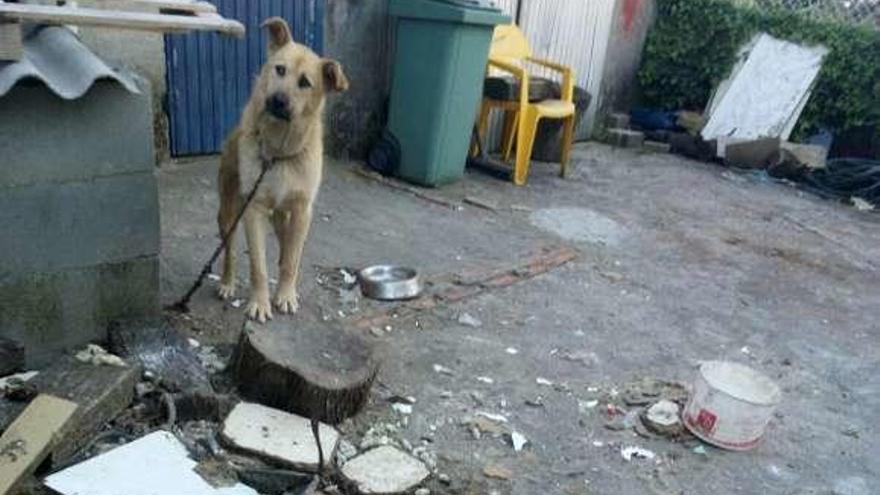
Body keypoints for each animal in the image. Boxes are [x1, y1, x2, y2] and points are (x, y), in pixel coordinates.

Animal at [217, 17, 348, 324]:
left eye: (305, 83)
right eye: (279, 69)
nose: (276, 100)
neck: (279, 154)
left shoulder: (301, 210)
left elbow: (290, 259)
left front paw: (286, 295)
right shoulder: (253, 210)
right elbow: (258, 266)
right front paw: (260, 303)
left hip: (283, 215)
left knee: (287, 245)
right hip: (230, 212)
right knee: (229, 251)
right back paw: (227, 282)